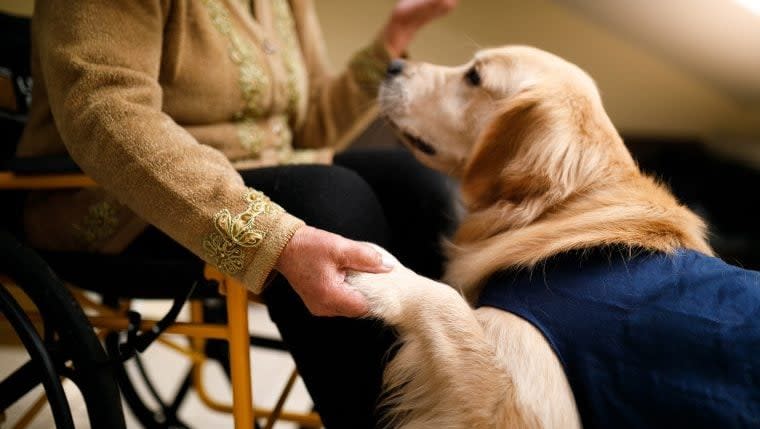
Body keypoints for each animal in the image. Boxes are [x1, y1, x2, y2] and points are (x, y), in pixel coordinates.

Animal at [346, 45, 760, 426]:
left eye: (474, 77)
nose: (392, 65)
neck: (559, 207)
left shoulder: (533, 397)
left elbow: (446, 301)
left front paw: (383, 276)